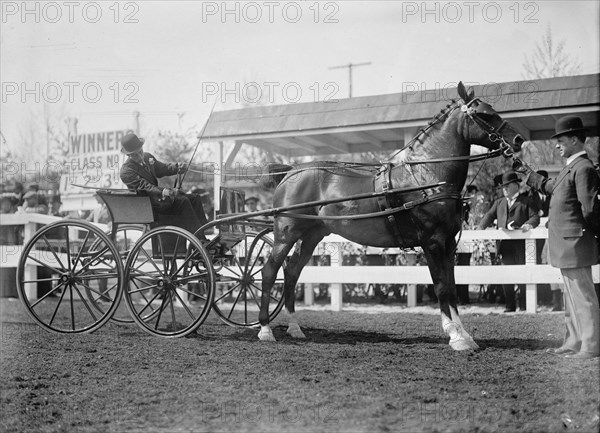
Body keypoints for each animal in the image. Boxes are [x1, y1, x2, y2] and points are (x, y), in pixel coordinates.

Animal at [258, 82, 524, 352]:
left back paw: (294, 328)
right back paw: (265, 329)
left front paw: (464, 335)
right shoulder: (432, 242)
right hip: (285, 234)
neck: (428, 177)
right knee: (269, 271)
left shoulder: (449, 244)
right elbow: (441, 287)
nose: (518, 139)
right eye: (484, 114)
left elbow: (451, 286)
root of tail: (291, 172)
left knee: (291, 273)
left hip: (311, 235)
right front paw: (455, 336)